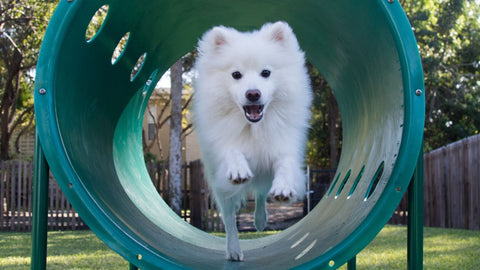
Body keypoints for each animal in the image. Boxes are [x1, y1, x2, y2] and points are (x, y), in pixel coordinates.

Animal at [193, 21, 314, 262]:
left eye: (265, 73)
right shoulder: (224, 146)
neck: (254, 127)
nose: (253, 94)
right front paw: (239, 170)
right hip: (221, 191)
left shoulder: (282, 146)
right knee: (229, 218)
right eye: (236, 74)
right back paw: (233, 250)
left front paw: (284, 188)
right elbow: (232, 151)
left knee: (260, 195)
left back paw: (259, 221)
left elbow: (285, 165)